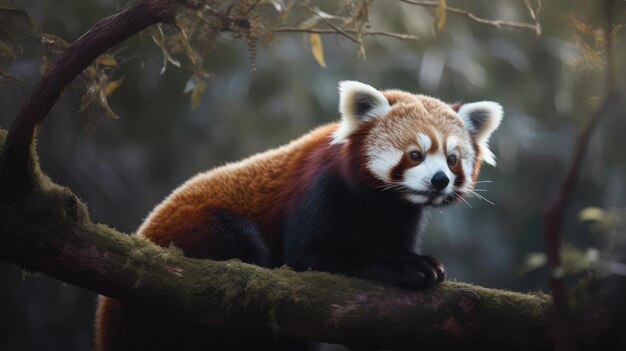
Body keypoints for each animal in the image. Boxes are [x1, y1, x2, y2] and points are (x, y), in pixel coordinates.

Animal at [94, 81, 502, 350]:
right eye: (415, 154)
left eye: (452, 159)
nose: (440, 180)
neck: (379, 201)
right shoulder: (318, 188)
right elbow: (311, 255)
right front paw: (407, 268)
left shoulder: (400, 215)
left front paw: (417, 259)